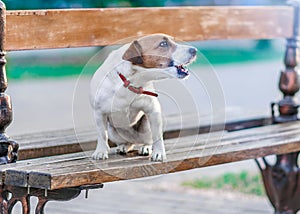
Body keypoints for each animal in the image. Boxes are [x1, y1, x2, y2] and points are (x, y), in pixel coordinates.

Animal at [89, 33, 197, 161]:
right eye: (163, 44)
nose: (194, 50)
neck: (130, 81)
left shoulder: (153, 111)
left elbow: (157, 137)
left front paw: (159, 153)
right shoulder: (99, 113)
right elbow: (102, 135)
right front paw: (100, 151)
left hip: (146, 125)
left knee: (148, 140)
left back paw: (145, 147)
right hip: (113, 132)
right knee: (126, 142)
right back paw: (124, 146)